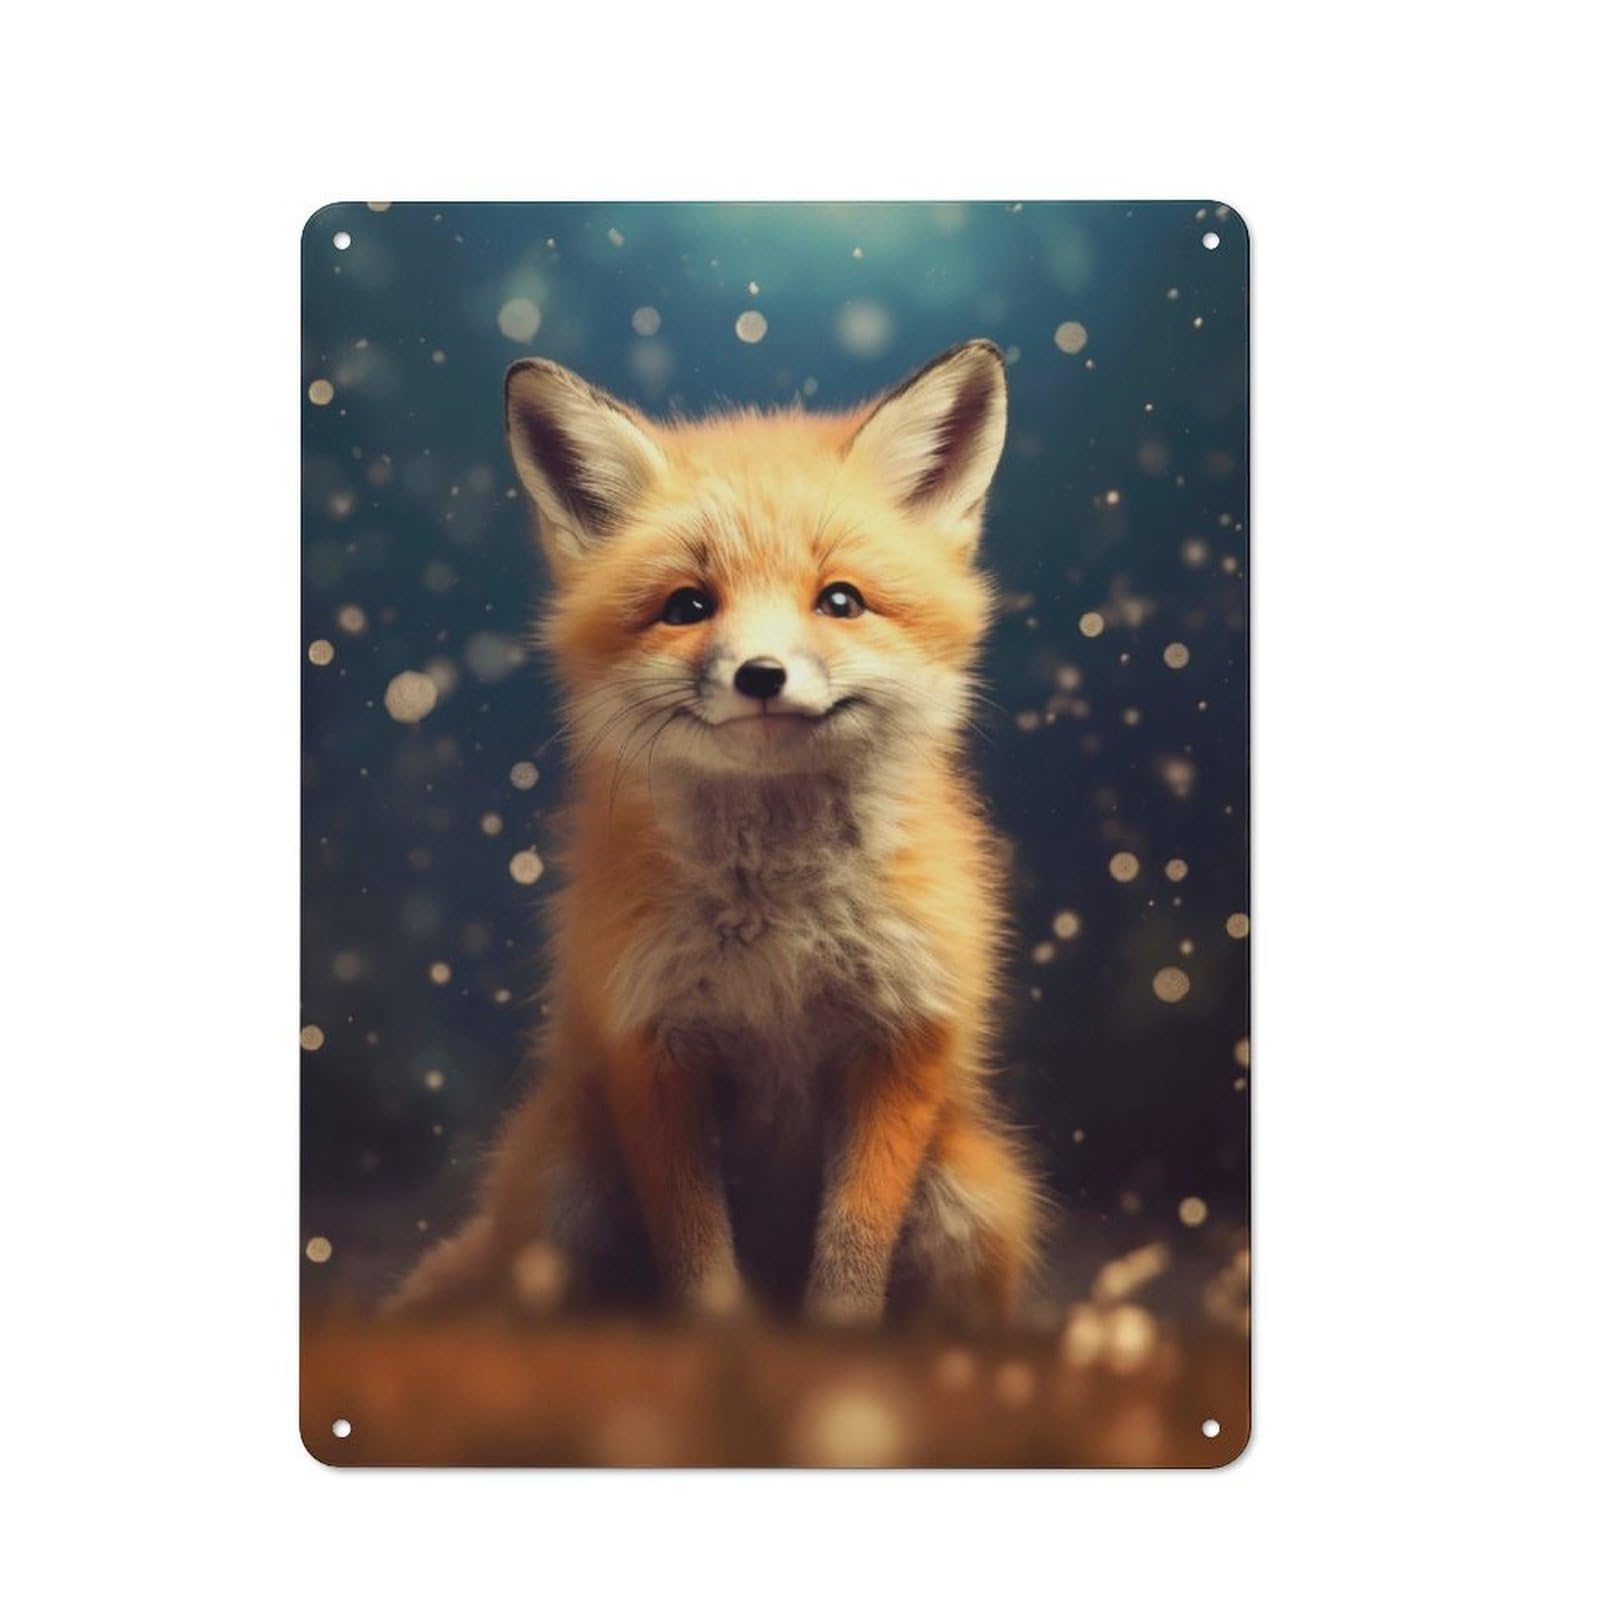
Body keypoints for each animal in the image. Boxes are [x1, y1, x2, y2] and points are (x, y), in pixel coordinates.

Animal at [389, 338, 1043, 1327]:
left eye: (840, 601)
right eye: (688, 607)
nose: (761, 675)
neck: (782, 932)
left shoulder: (902, 1041)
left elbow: (852, 1257)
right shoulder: (651, 1044)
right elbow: (697, 1259)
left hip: (971, 1193)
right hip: (564, 1185)